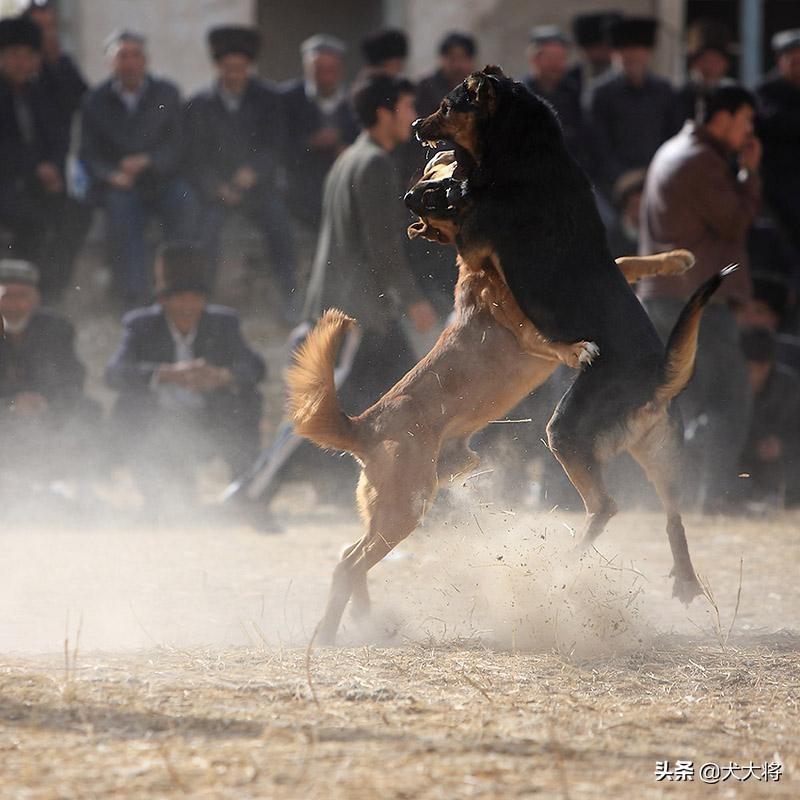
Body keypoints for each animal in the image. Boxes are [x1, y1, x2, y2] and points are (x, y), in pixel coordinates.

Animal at [284, 150, 696, 644]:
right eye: (430, 186)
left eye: (436, 173)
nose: (412, 194)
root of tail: (363, 425)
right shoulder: (520, 326)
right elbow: (553, 338)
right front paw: (578, 349)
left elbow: (630, 259)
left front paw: (675, 260)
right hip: (404, 508)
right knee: (348, 564)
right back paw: (329, 635)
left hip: (404, 499)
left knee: (350, 554)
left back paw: (366, 621)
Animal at [416, 65, 736, 600]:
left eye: (446, 105)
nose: (417, 126)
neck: (523, 151)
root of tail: (656, 381)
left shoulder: (474, 242)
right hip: (658, 453)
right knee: (673, 515)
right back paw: (685, 580)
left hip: (565, 432)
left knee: (605, 506)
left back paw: (566, 563)